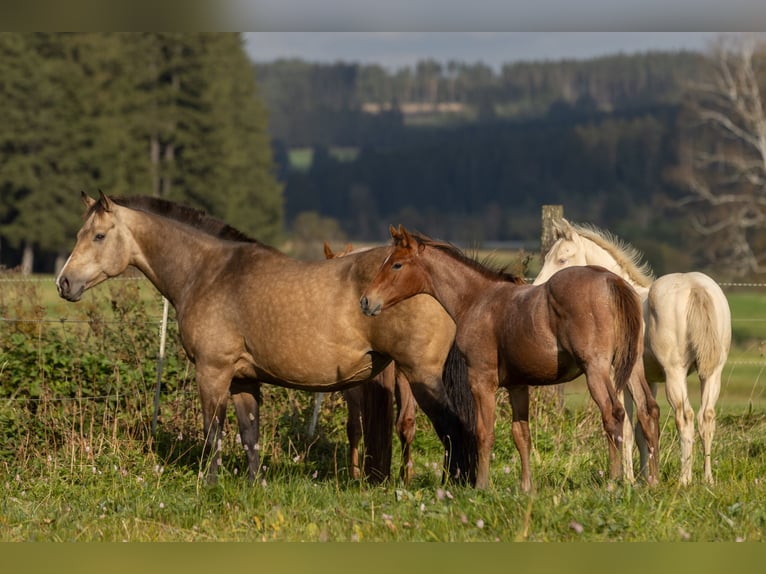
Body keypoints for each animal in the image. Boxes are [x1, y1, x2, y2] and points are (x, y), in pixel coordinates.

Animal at [364, 227, 664, 492]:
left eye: (397, 265)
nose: (366, 301)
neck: (477, 299)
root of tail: (613, 281)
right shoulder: (517, 385)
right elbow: (522, 436)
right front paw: (526, 487)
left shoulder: (481, 380)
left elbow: (484, 432)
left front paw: (482, 486)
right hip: (633, 367)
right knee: (649, 410)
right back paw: (653, 480)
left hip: (597, 369)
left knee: (613, 414)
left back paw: (614, 481)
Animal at [532, 220, 736, 486]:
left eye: (562, 260)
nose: (536, 290)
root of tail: (695, 288)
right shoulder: (650, 379)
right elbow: (643, 426)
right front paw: (643, 476)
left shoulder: (618, 377)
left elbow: (628, 427)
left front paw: (628, 479)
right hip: (712, 373)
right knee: (707, 418)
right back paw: (707, 479)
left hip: (675, 373)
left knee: (685, 417)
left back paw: (685, 479)